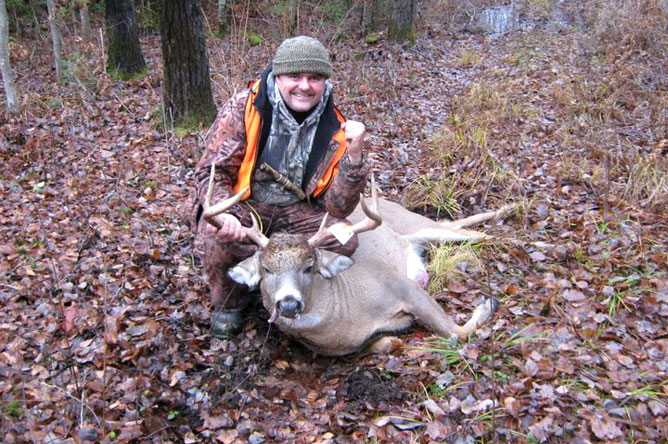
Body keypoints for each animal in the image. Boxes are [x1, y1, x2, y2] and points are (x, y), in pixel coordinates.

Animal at [204, 167, 500, 358]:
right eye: (266, 269)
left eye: (309, 267)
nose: (288, 303)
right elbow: (385, 344)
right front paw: (392, 341)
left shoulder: (401, 285)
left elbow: (456, 333)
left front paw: (488, 304)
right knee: (455, 226)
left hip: (413, 223)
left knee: (467, 231)